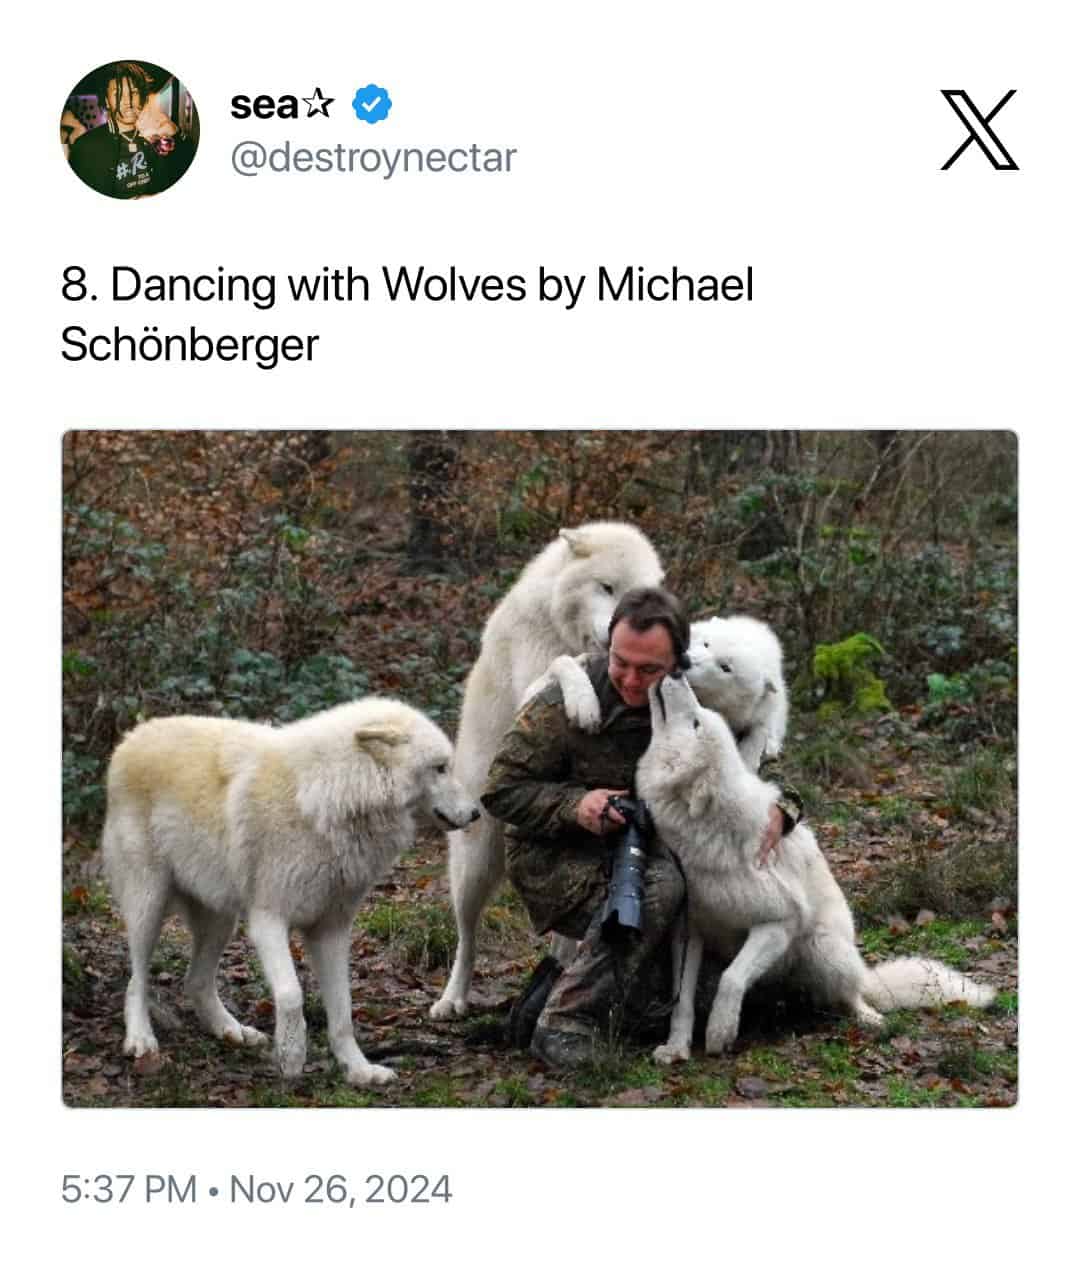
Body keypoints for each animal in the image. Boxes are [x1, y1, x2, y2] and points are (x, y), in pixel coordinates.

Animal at [103, 698, 479, 1087]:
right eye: (440, 768)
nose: (476, 813)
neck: (331, 796)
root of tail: (133, 736)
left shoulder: (331, 930)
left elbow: (343, 1012)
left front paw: (358, 1069)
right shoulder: (268, 921)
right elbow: (290, 994)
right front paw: (292, 1055)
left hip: (221, 920)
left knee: (196, 982)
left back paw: (233, 1031)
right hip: (149, 906)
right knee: (136, 981)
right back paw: (141, 1039)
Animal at [429, 522, 664, 1019]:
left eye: (635, 596)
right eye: (606, 587)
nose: (617, 637)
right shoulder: (534, 683)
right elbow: (564, 667)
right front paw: (583, 703)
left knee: (565, 933)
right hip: (475, 863)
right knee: (467, 936)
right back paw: (451, 999)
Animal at [635, 674, 994, 1063]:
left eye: (697, 721)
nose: (675, 673)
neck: (709, 836)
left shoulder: (780, 924)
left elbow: (733, 978)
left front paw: (720, 1032)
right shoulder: (689, 931)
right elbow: (682, 1001)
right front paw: (676, 1048)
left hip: (822, 947)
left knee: (852, 996)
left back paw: (869, 1018)